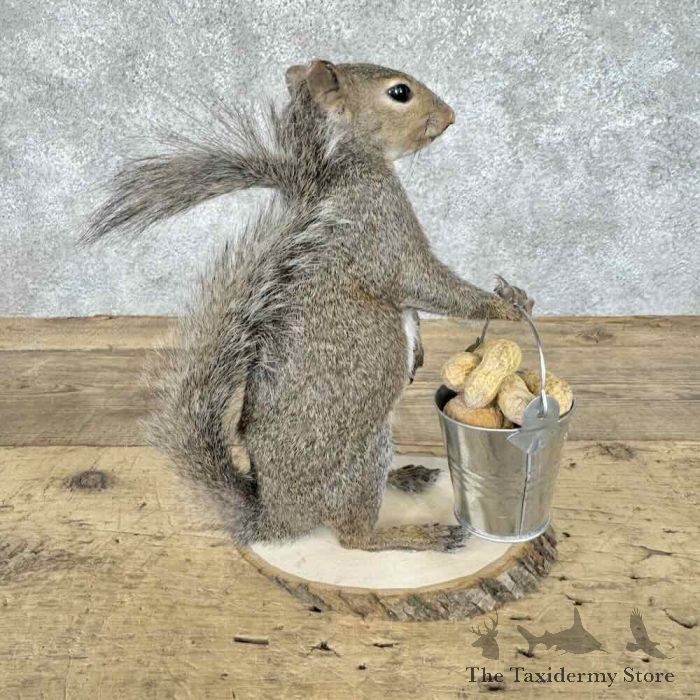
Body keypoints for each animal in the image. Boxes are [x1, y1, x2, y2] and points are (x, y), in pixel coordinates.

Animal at [85, 60, 531, 552]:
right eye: (399, 93)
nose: (450, 117)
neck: (349, 163)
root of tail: (276, 518)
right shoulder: (381, 228)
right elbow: (425, 285)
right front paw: (505, 306)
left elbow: (412, 312)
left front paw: (424, 346)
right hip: (362, 454)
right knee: (355, 538)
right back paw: (417, 535)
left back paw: (407, 475)